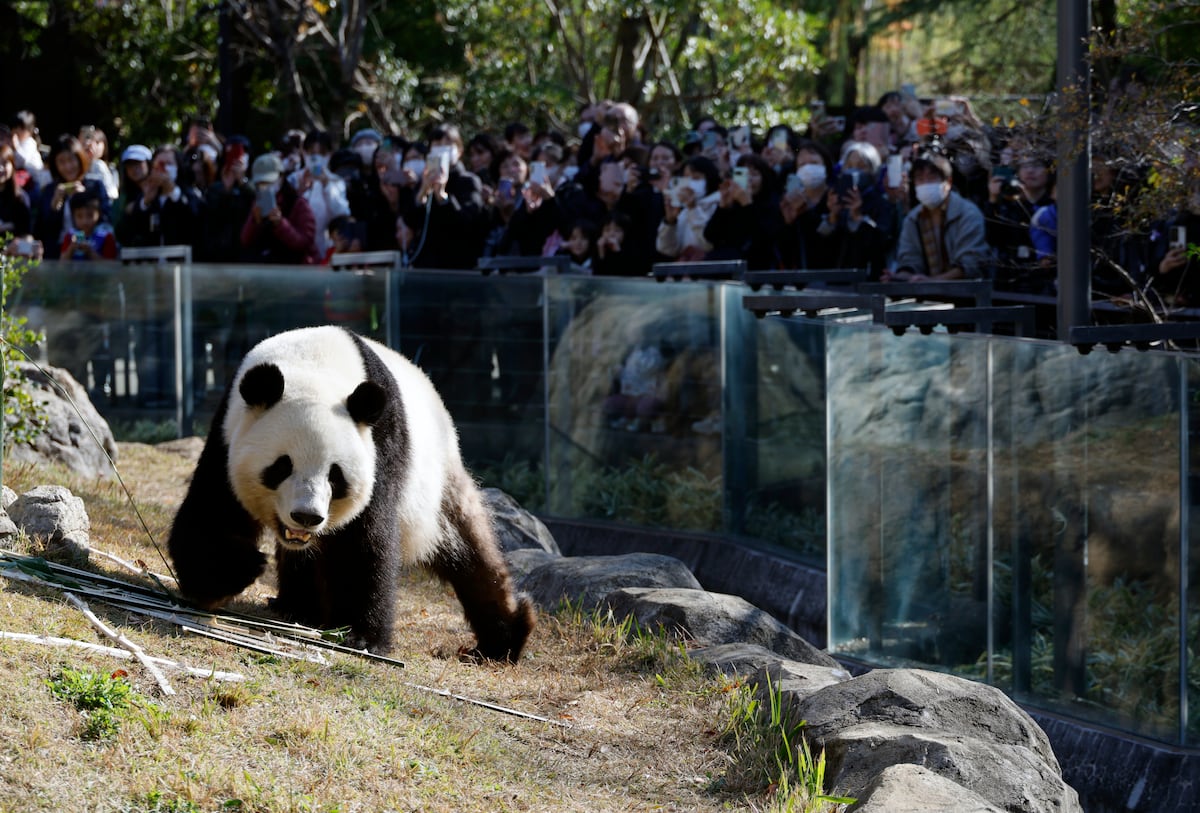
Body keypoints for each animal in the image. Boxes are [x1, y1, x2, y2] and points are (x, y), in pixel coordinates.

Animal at [167, 325, 535, 661]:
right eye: (282, 466)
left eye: (335, 475)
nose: (307, 516)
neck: (313, 366)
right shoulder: (227, 434)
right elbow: (212, 514)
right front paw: (234, 571)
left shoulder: (379, 447)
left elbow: (363, 541)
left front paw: (361, 637)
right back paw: (297, 608)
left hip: (436, 480)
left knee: (469, 549)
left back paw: (502, 641)